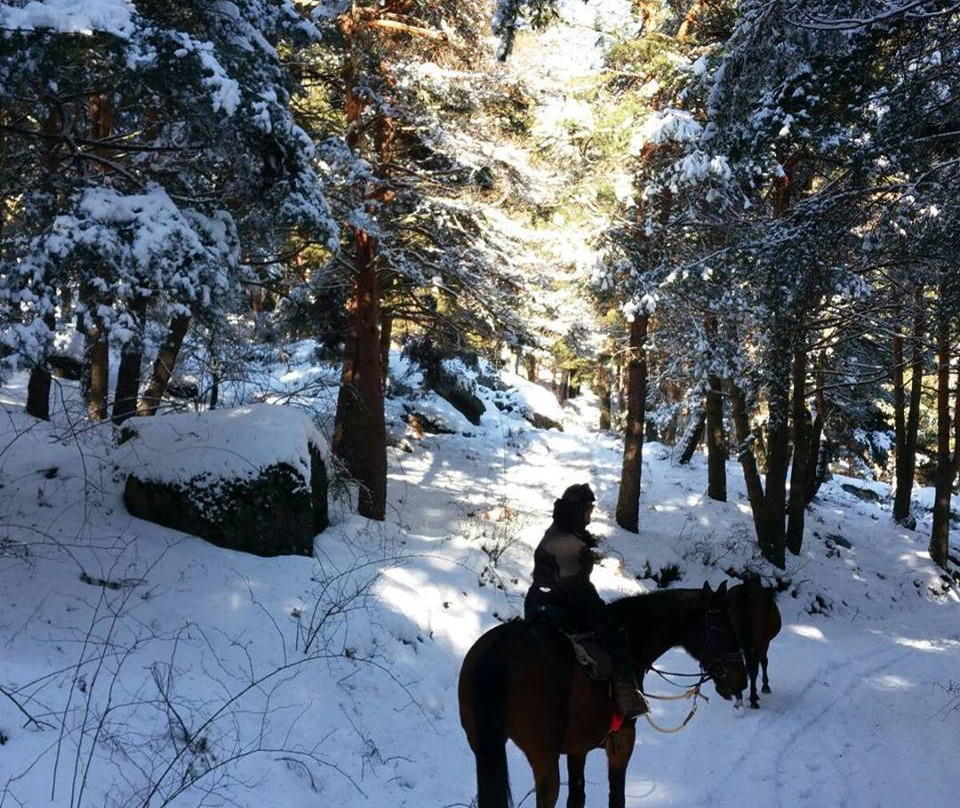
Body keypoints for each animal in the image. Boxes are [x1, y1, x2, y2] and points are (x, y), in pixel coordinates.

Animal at [460, 580, 752, 808]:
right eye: (723, 629)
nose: (741, 679)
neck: (631, 642)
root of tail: (499, 650)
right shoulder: (621, 743)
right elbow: (616, 798)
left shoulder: (578, 748)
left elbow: (577, 797)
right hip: (544, 758)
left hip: (484, 749)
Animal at [728, 580, 780, 708]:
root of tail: (744, 591)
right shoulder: (764, 641)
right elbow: (764, 661)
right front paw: (765, 686)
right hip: (757, 641)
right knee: (754, 667)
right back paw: (753, 698)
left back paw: (739, 695)